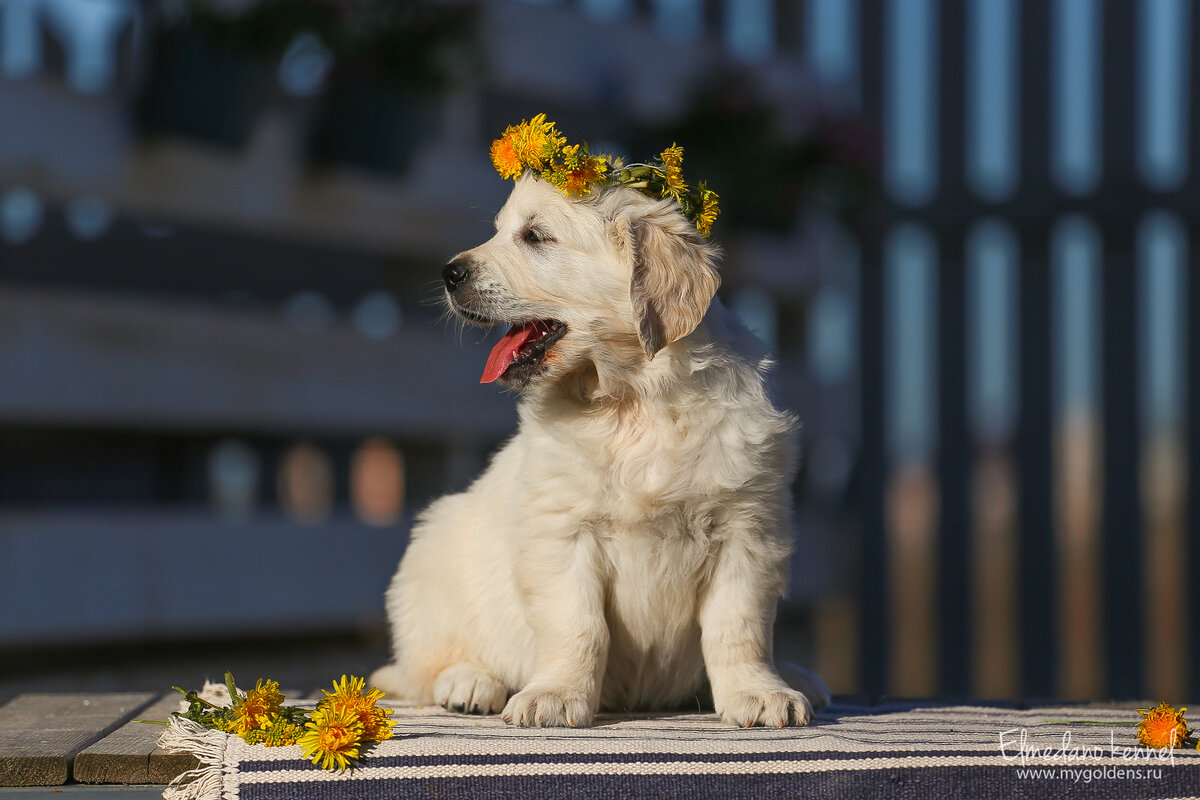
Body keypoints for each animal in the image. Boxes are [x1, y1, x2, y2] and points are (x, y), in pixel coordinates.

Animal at [369, 173, 830, 724]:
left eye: (535, 236)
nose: (449, 273)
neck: (634, 400)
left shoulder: (748, 529)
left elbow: (739, 626)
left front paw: (758, 693)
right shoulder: (561, 530)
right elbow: (578, 625)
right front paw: (555, 695)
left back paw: (798, 676)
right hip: (431, 558)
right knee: (422, 666)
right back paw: (468, 681)